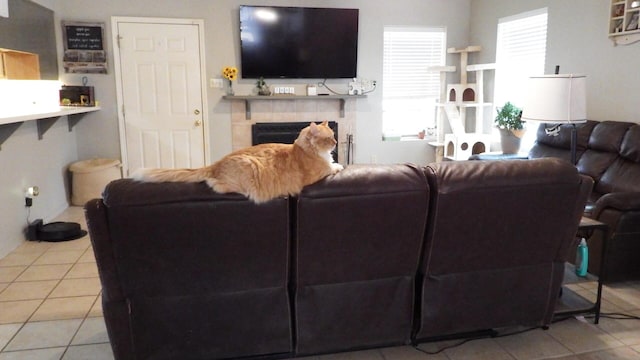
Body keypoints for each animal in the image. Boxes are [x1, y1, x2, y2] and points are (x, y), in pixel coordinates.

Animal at [131, 121, 344, 202]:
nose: (335, 142)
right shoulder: (319, 173)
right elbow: (333, 167)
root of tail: (216, 163)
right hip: (248, 168)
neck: (303, 149)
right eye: (328, 138)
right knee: (216, 185)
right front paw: (339, 164)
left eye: (334, 136)